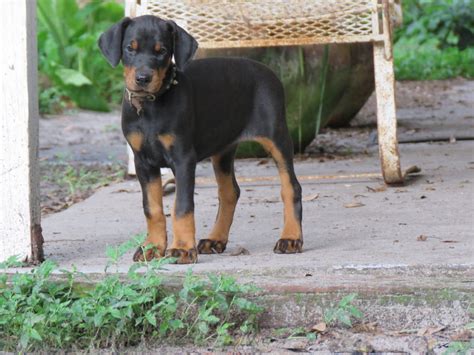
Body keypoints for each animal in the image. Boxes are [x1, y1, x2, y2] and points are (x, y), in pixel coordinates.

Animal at [98, 14, 302, 264]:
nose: (143, 78)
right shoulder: (143, 162)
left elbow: (182, 206)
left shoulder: (183, 158)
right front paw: (153, 247)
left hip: (276, 137)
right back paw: (215, 239)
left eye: (162, 51)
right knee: (230, 192)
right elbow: (152, 208)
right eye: (130, 48)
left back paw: (291, 238)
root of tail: (269, 72)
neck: (151, 106)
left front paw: (182, 249)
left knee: (291, 186)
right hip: (223, 150)